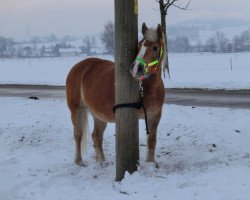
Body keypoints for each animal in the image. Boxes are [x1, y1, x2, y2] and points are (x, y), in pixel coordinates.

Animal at [66, 22, 168, 166]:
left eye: (155, 48)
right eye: (138, 46)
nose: (136, 68)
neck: (148, 89)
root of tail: (77, 67)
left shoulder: (154, 117)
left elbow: (152, 141)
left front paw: (151, 163)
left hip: (98, 115)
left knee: (96, 136)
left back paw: (102, 161)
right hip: (77, 110)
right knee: (78, 135)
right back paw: (79, 161)